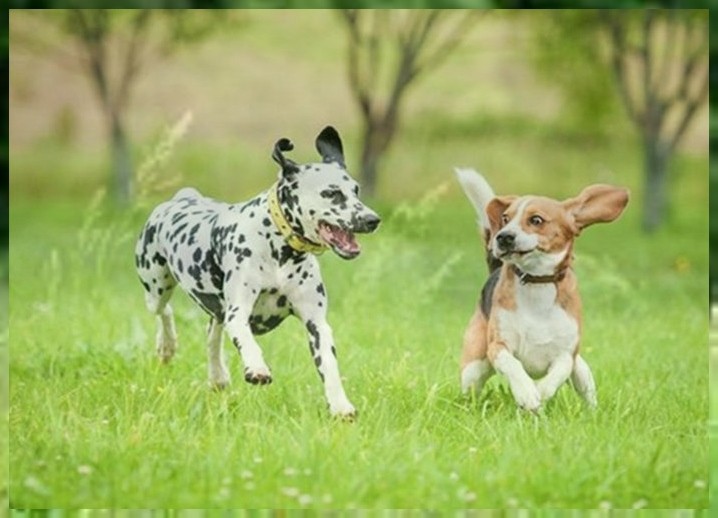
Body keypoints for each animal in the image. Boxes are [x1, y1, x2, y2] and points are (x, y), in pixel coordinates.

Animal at [136, 128, 382, 420]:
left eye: (356, 190)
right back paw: (167, 346)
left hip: (213, 308)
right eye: (332, 193)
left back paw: (217, 375)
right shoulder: (238, 311)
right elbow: (247, 340)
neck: (280, 251)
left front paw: (340, 405)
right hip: (157, 288)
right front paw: (257, 368)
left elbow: (330, 367)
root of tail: (182, 197)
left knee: (212, 333)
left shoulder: (317, 324)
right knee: (165, 312)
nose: (372, 219)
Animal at [458, 169, 628, 412]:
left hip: (582, 369)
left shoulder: (566, 353)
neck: (537, 283)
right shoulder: (498, 346)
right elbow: (513, 365)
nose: (503, 236)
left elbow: (559, 372)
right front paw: (527, 393)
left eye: (536, 220)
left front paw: (540, 392)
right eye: (506, 218)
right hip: (473, 367)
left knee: (584, 385)